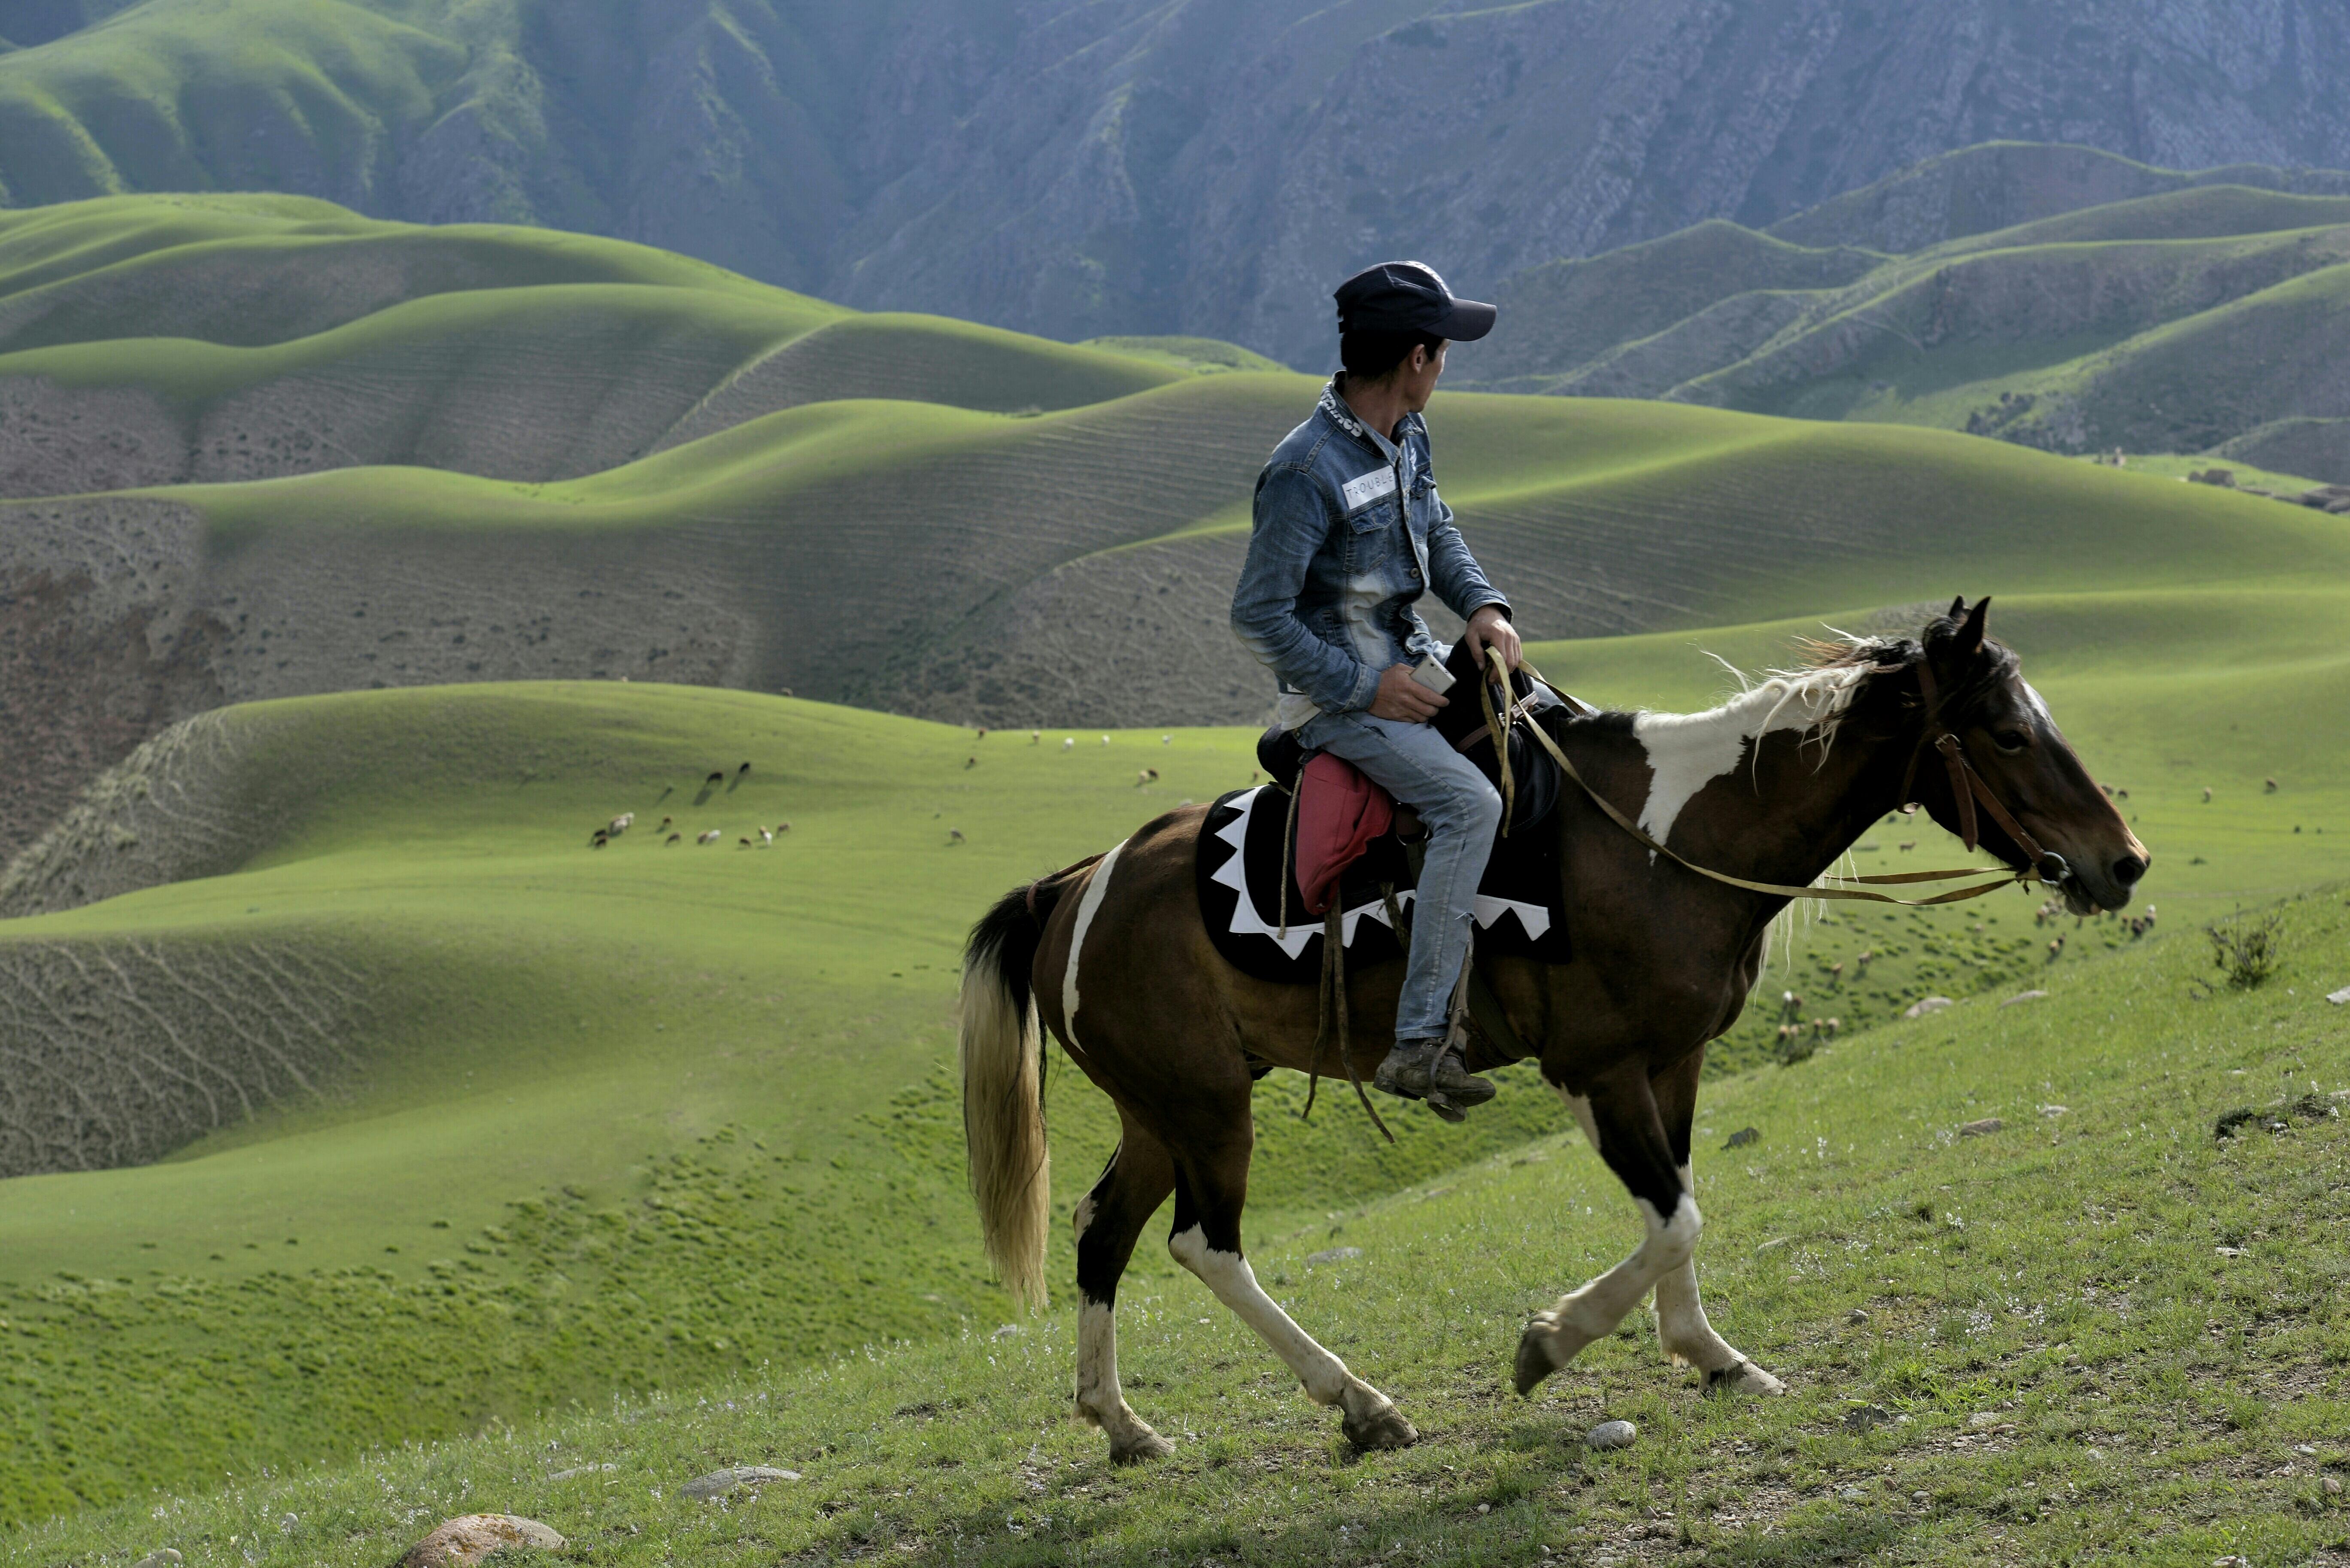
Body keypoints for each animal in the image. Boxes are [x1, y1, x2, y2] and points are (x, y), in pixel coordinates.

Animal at [957, 598, 2148, 1460]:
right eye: (2007, 732)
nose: (2123, 860)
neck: (1670, 839)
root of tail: (1074, 884)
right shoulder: (1593, 1066)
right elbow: (1674, 1214)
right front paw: (1550, 1344)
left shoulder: (1676, 1059)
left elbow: (1679, 1202)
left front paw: (1712, 1355)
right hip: (1205, 1106)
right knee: (1203, 1243)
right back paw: (1361, 1402)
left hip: (1159, 1108)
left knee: (1104, 1232)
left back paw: (1124, 1423)